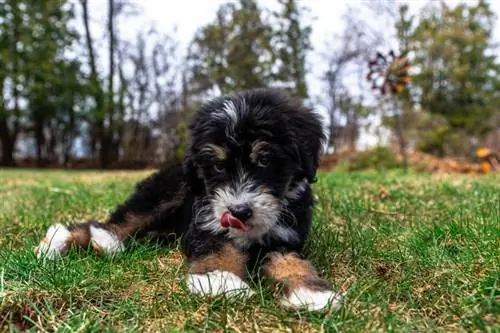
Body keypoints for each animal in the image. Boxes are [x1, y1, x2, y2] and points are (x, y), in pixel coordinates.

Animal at [34, 87, 344, 312]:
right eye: (217, 166)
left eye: (265, 160)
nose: (239, 211)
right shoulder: (206, 221)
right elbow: (217, 247)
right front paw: (220, 280)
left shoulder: (285, 237)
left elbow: (291, 261)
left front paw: (311, 291)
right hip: (167, 191)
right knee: (117, 220)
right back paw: (70, 241)